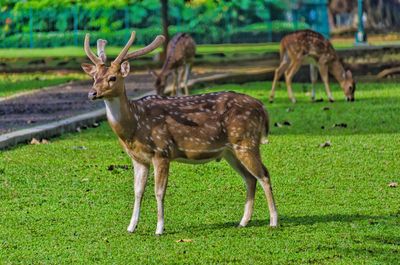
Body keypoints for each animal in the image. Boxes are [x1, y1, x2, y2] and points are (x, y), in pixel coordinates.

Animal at [81, 31, 278, 235]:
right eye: (94, 77)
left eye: (113, 77)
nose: (92, 93)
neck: (134, 126)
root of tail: (262, 108)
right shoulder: (138, 158)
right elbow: (137, 191)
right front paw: (131, 227)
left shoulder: (162, 151)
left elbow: (159, 191)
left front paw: (159, 228)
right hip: (230, 151)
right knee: (250, 178)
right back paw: (243, 221)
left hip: (246, 141)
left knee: (264, 174)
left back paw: (273, 221)